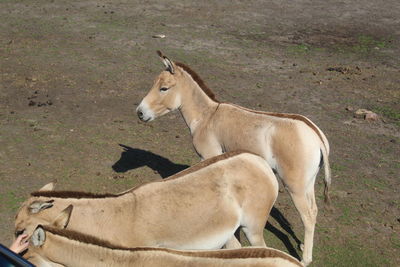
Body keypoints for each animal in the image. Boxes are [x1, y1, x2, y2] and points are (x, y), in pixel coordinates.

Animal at [136, 51, 330, 266]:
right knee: (314, 211)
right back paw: (304, 246)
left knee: (307, 216)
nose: (140, 113)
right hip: (308, 183)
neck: (207, 116)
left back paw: (305, 259)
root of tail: (316, 135)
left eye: (163, 88)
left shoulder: (210, 156)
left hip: (294, 186)